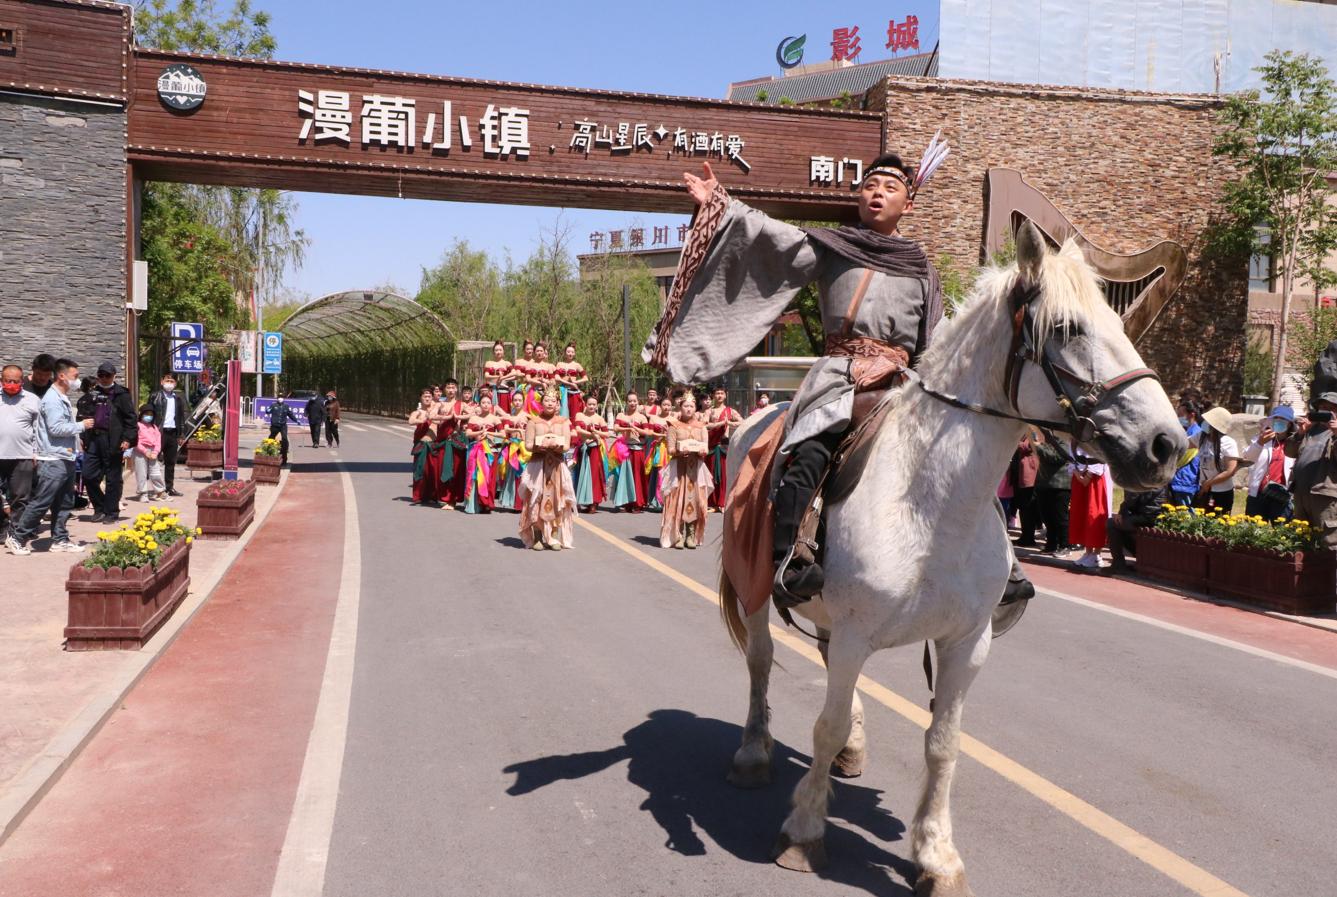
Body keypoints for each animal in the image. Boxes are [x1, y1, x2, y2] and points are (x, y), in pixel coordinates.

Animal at [721, 220, 1181, 892]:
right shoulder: (857, 633)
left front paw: (935, 856)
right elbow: (822, 726)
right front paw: (804, 832)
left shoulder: (966, 642)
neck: (933, 503)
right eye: (1068, 330)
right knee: (759, 662)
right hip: (754, 586)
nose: (1167, 445)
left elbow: (943, 743)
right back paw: (754, 752)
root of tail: (757, 418)